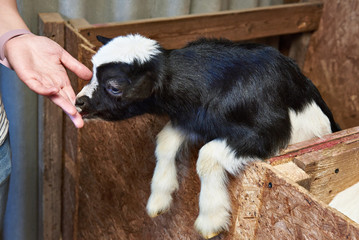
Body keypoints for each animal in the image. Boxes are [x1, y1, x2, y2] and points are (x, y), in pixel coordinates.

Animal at [76, 34, 340, 239]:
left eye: (114, 87)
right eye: (92, 72)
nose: (79, 102)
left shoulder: (266, 133)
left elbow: (207, 155)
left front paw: (211, 219)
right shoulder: (195, 118)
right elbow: (165, 142)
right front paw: (159, 198)